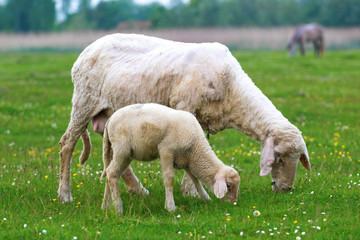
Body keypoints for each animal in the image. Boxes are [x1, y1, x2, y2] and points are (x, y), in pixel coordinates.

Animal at [58, 32, 310, 202]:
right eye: (278, 157)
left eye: (298, 158)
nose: (285, 189)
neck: (232, 90)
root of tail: (86, 50)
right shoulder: (185, 105)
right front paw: (191, 193)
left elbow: (197, 145)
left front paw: (192, 190)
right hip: (84, 101)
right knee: (67, 144)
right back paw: (65, 194)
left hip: (109, 114)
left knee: (110, 149)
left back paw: (138, 189)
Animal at [100, 103, 240, 214]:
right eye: (228, 186)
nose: (233, 203)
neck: (196, 147)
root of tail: (110, 120)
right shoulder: (166, 150)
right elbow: (169, 178)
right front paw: (171, 207)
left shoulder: (186, 160)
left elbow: (195, 179)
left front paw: (205, 198)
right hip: (122, 150)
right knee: (112, 173)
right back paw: (118, 209)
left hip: (115, 151)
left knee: (108, 173)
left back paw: (106, 206)